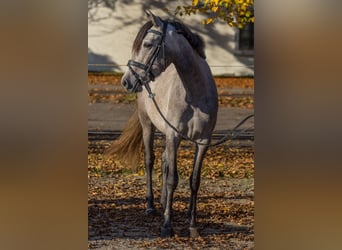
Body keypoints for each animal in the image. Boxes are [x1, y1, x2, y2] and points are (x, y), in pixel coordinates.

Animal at [108, 10, 218, 238]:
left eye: (148, 44)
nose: (126, 81)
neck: (195, 92)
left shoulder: (203, 141)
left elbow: (194, 181)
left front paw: (192, 225)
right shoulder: (173, 136)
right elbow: (172, 179)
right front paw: (167, 224)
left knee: (165, 161)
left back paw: (163, 201)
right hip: (148, 126)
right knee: (150, 161)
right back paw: (151, 206)